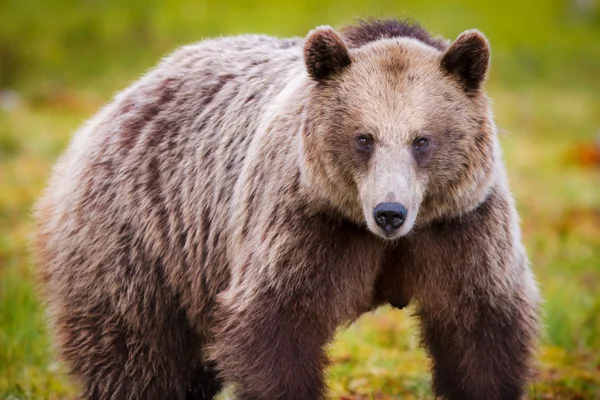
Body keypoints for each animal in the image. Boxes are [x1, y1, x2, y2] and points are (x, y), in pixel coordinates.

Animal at [34, 18, 540, 400]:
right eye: (364, 138)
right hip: (140, 233)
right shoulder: (305, 221)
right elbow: (276, 324)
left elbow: (480, 329)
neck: (382, 239)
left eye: (422, 140)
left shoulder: (458, 226)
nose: (390, 212)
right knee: (133, 352)